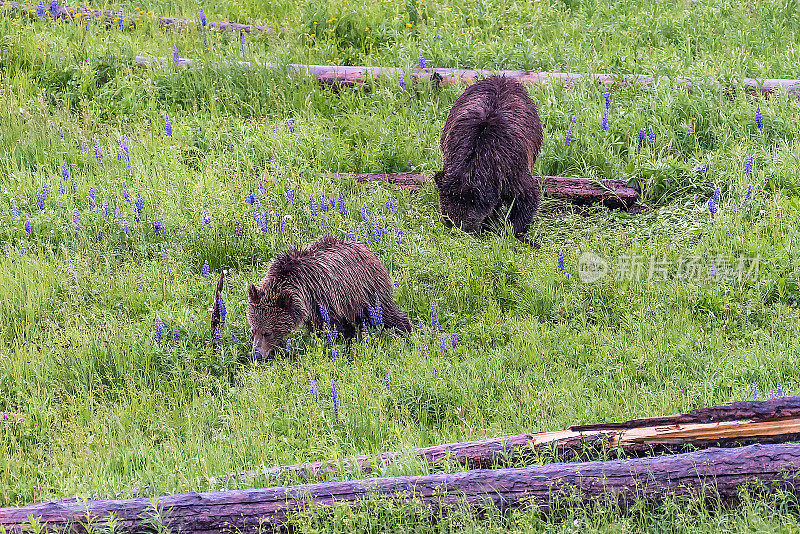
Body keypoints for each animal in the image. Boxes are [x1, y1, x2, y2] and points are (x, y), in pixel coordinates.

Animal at [248, 236, 412, 358]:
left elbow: (330, 329)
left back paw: (405, 332)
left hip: (367, 290)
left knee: (385, 313)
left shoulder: (323, 299)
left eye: (267, 333)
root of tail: (367, 249)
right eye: (253, 331)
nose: (256, 355)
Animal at [434, 76, 548, 247]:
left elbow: (526, 197)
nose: (456, 231)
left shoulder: (511, 169)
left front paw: (517, 233)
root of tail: (503, 77)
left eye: (464, 223)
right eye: (448, 219)